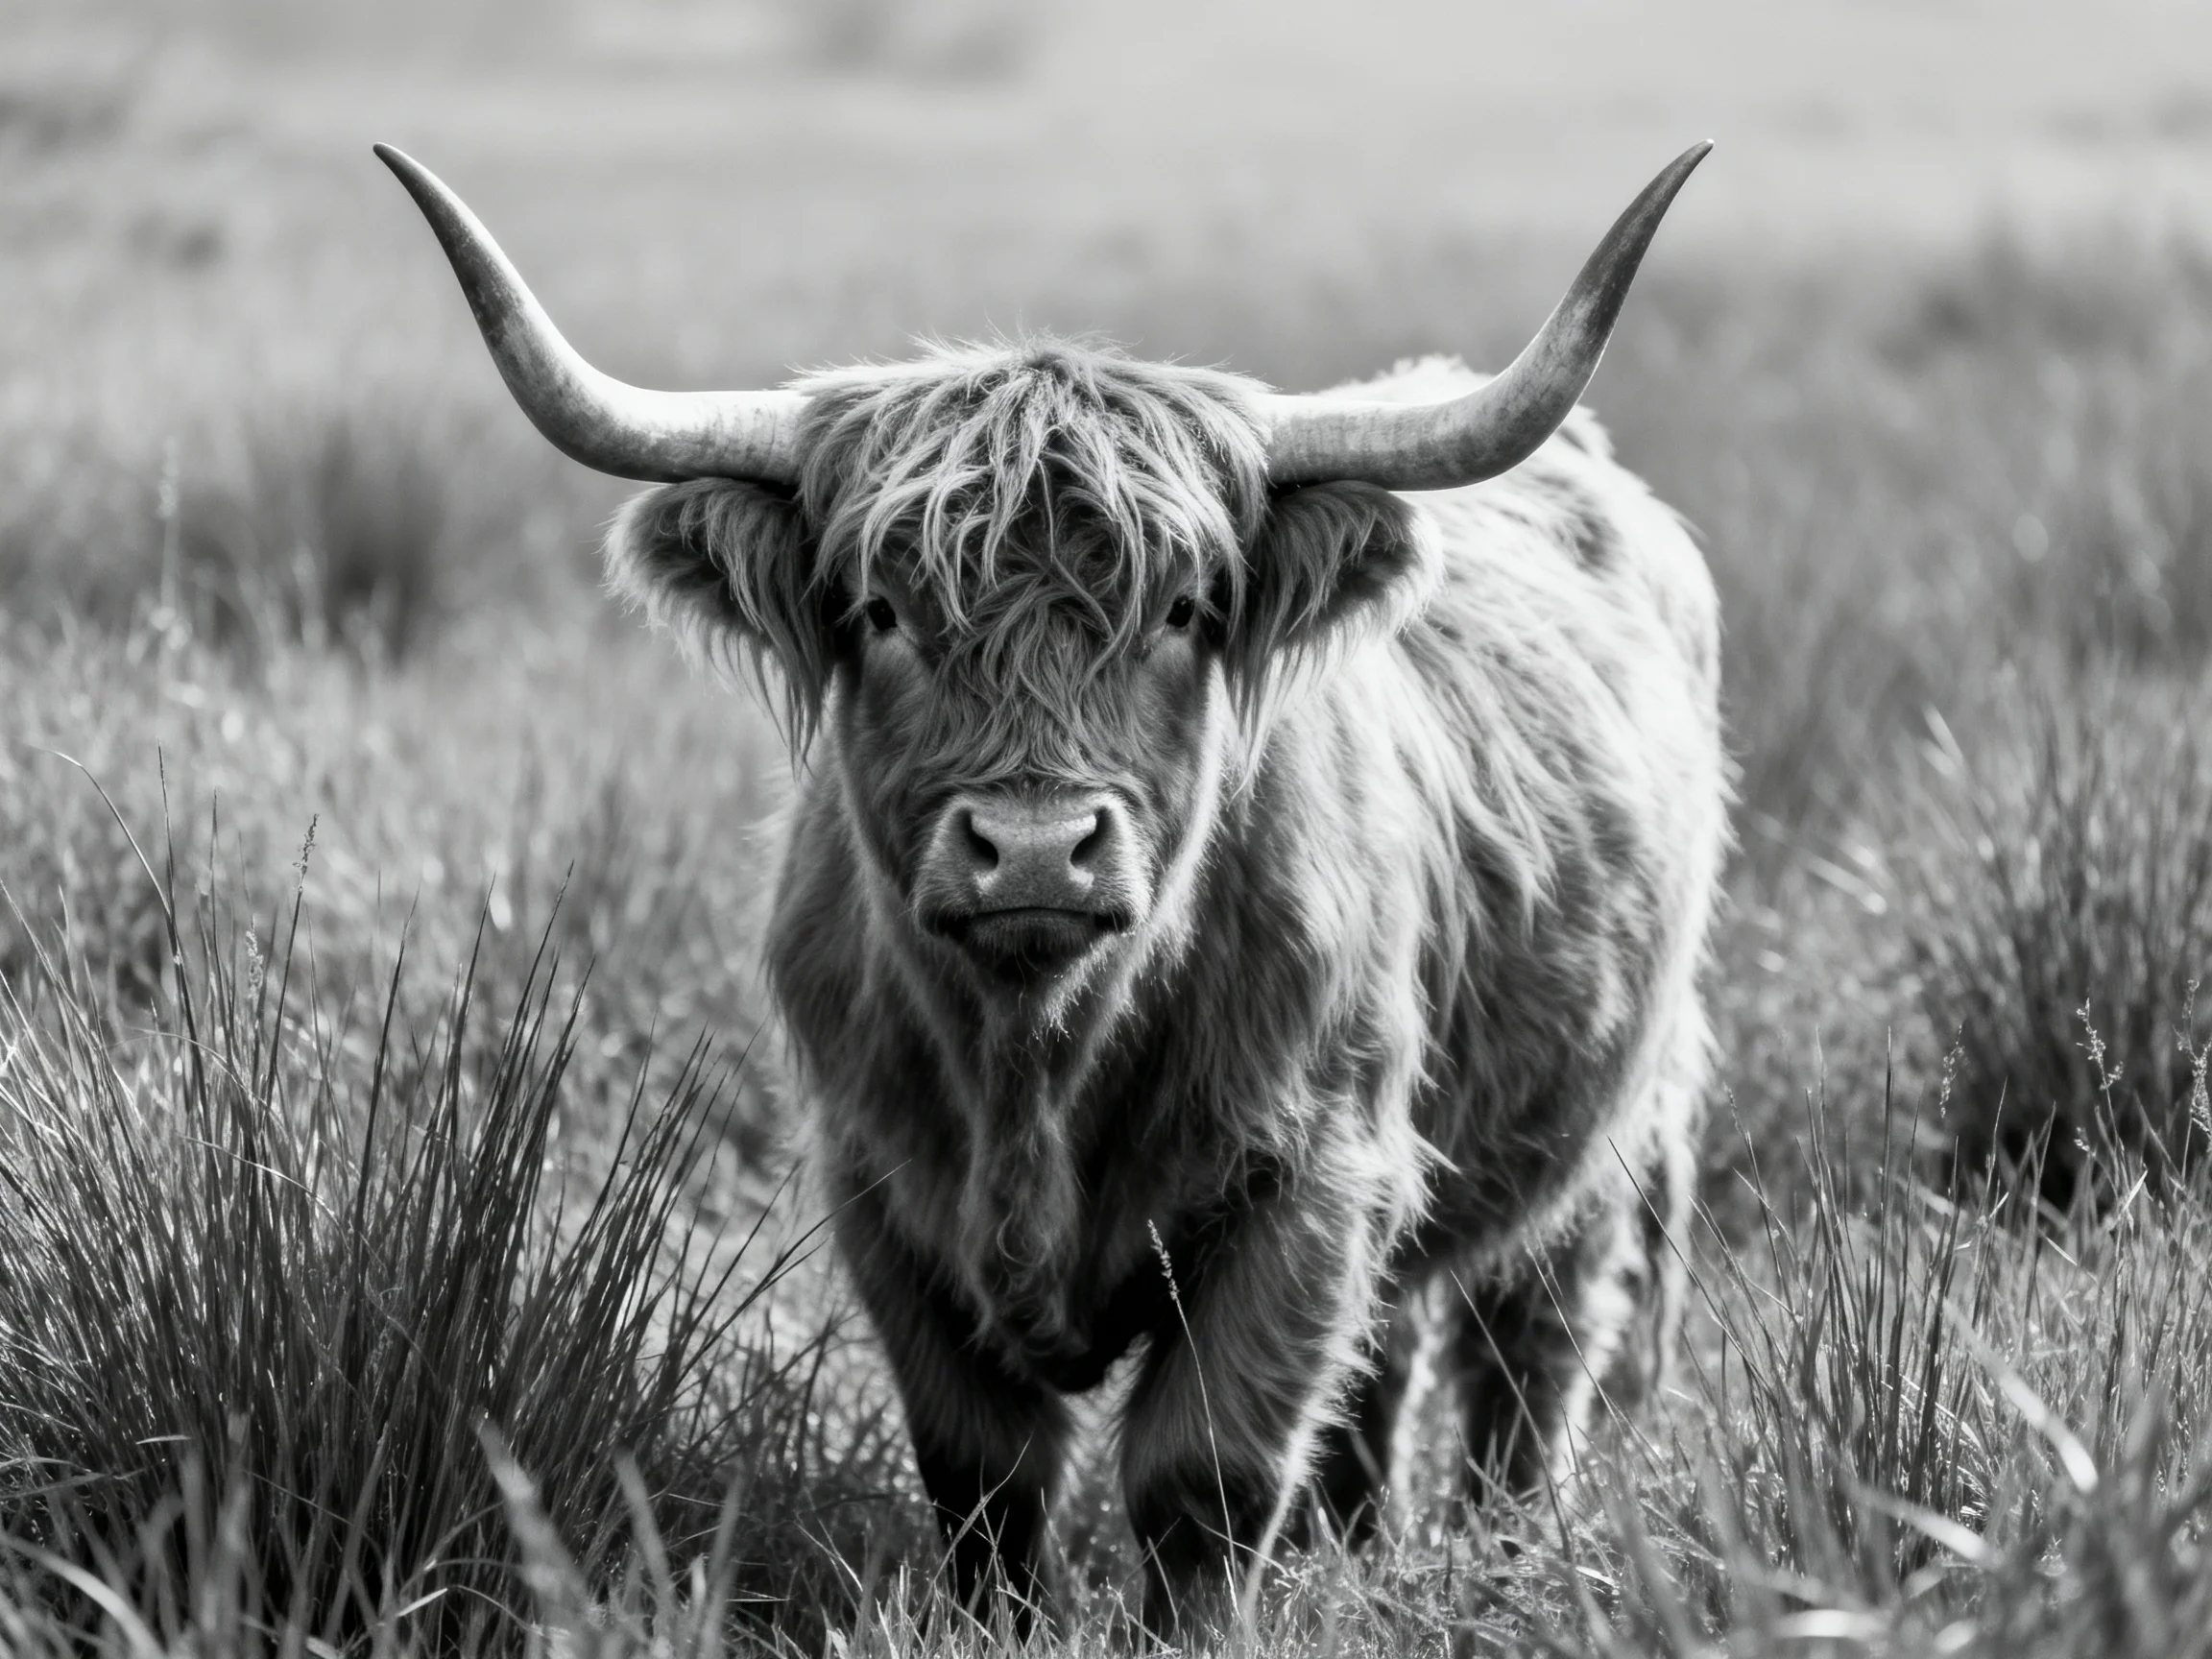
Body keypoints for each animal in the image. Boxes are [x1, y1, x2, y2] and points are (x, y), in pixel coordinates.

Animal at [378, 141, 1728, 1639]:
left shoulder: (1306, 1182)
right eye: (882, 612)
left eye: (1186, 610)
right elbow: (985, 1479)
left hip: (1609, 1126)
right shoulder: (884, 1193)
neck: (1036, 1063)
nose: (1032, 847)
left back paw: (1503, 1554)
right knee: (1380, 1385)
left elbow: (1204, 1478)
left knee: (1530, 1350)